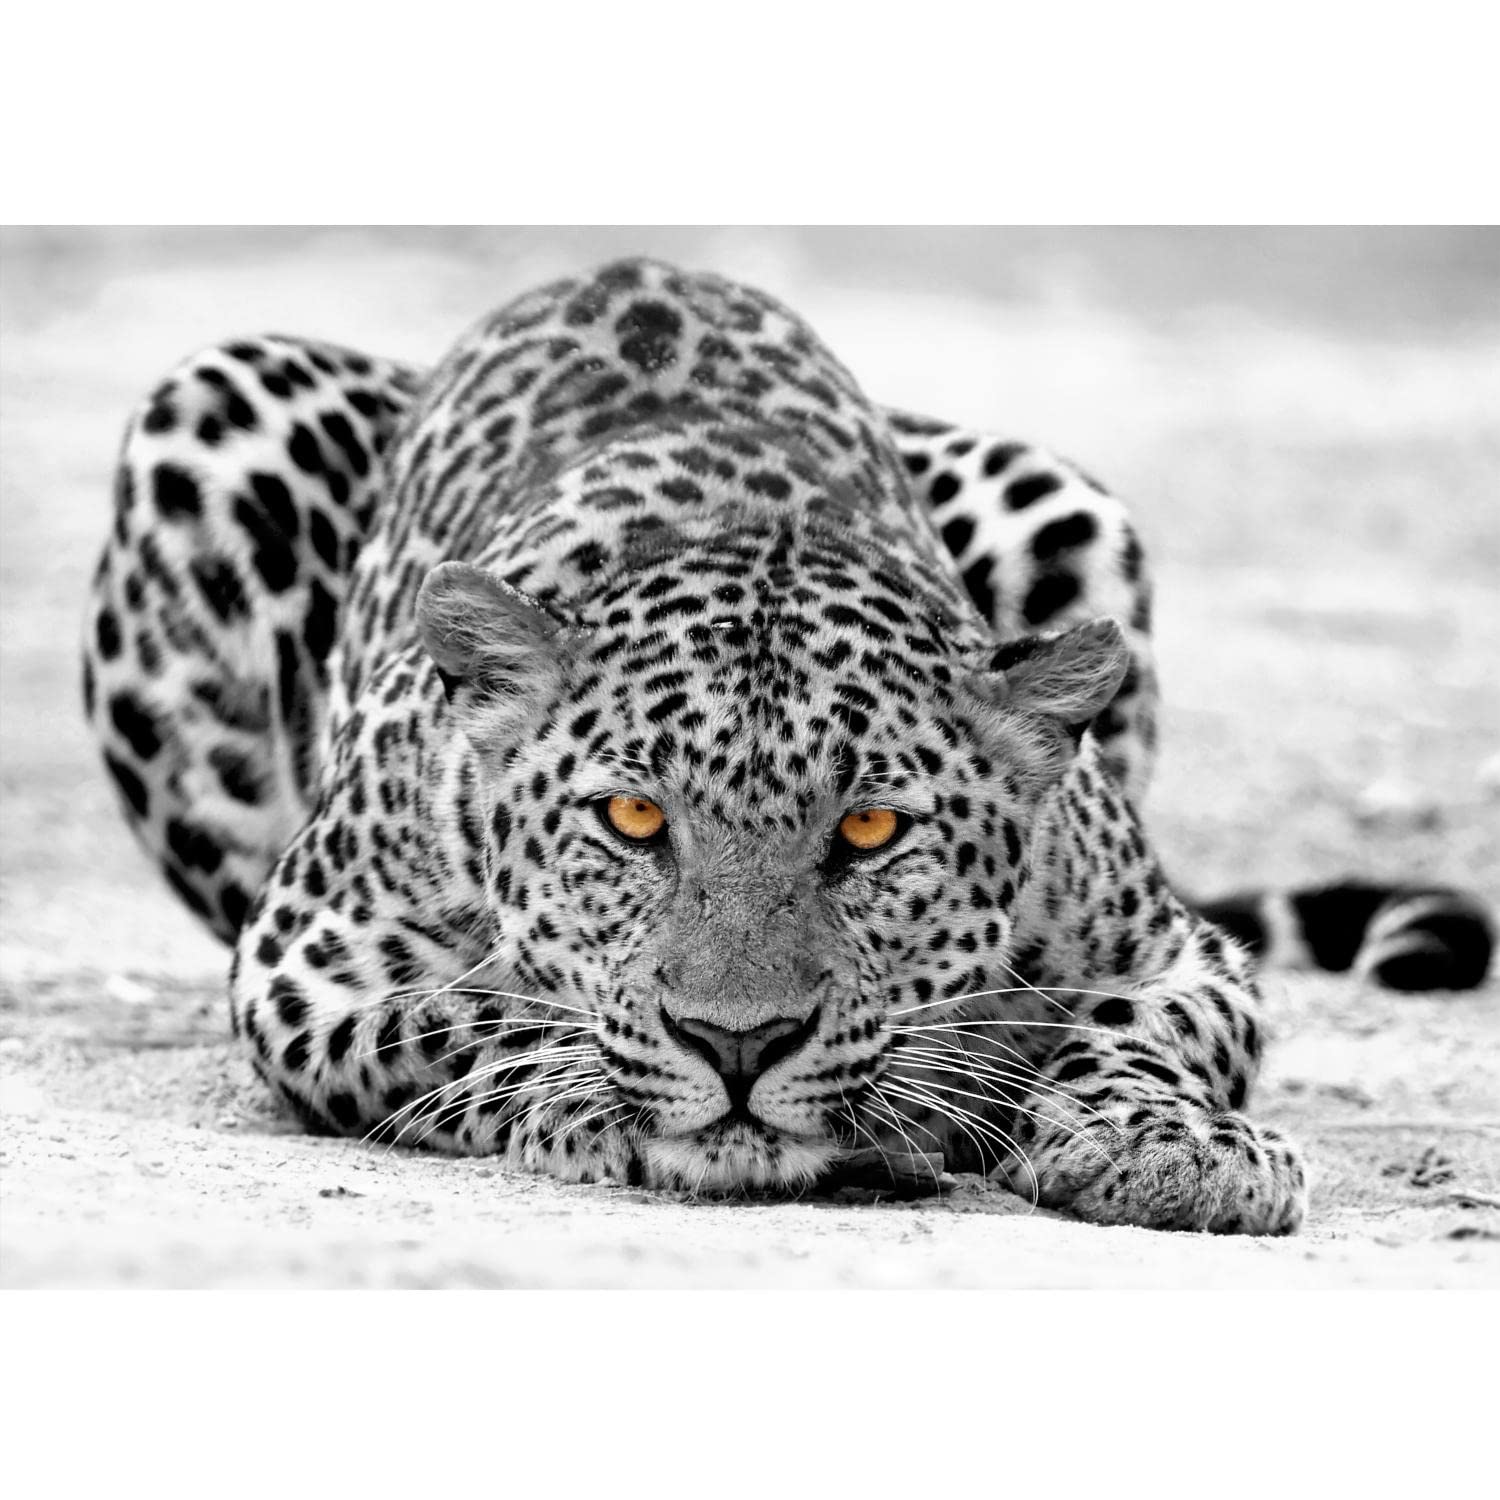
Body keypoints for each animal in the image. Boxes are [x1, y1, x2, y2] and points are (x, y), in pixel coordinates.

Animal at [82, 257, 1495, 1233]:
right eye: (633, 821)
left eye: (868, 831)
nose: (740, 1046)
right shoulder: (303, 965)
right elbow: (470, 1019)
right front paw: (586, 1092)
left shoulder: (1176, 953)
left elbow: (1140, 1033)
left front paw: (1171, 1147)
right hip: (213, 413)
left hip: (1063, 497)